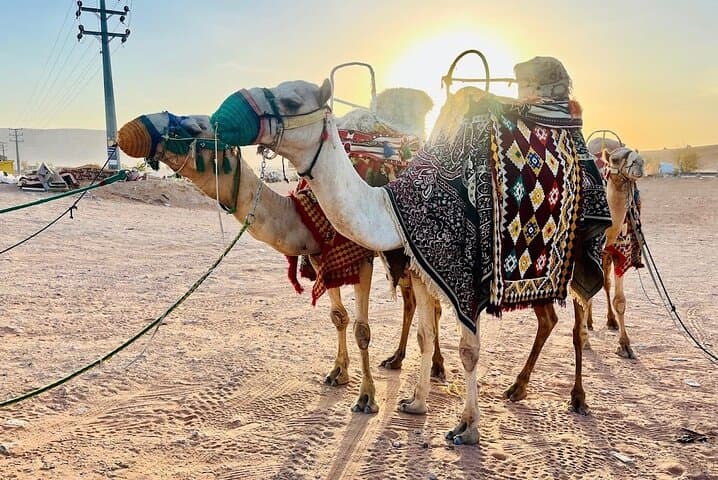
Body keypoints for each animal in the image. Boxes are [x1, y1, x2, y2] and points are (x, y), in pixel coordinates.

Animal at [116, 90, 444, 415]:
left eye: (194, 128)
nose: (133, 129)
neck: (309, 211)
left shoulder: (360, 258)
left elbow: (362, 329)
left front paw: (366, 397)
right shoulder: (321, 257)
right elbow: (338, 317)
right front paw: (338, 373)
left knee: (431, 306)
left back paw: (436, 368)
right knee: (413, 303)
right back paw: (397, 359)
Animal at [201, 56, 609, 444]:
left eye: (291, 101)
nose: (219, 116)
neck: (391, 202)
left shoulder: (460, 272)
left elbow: (467, 349)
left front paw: (467, 427)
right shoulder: (420, 267)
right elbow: (422, 333)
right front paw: (415, 402)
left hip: (582, 251)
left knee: (577, 320)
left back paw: (577, 397)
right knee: (549, 318)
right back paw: (518, 387)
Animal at [586, 137, 645, 358]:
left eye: (637, 155)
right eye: (615, 159)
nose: (639, 162)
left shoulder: (622, 256)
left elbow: (619, 301)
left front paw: (625, 345)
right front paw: (584, 342)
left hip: (606, 257)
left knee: (605, 284)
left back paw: (608, 322)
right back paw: (588, 324)